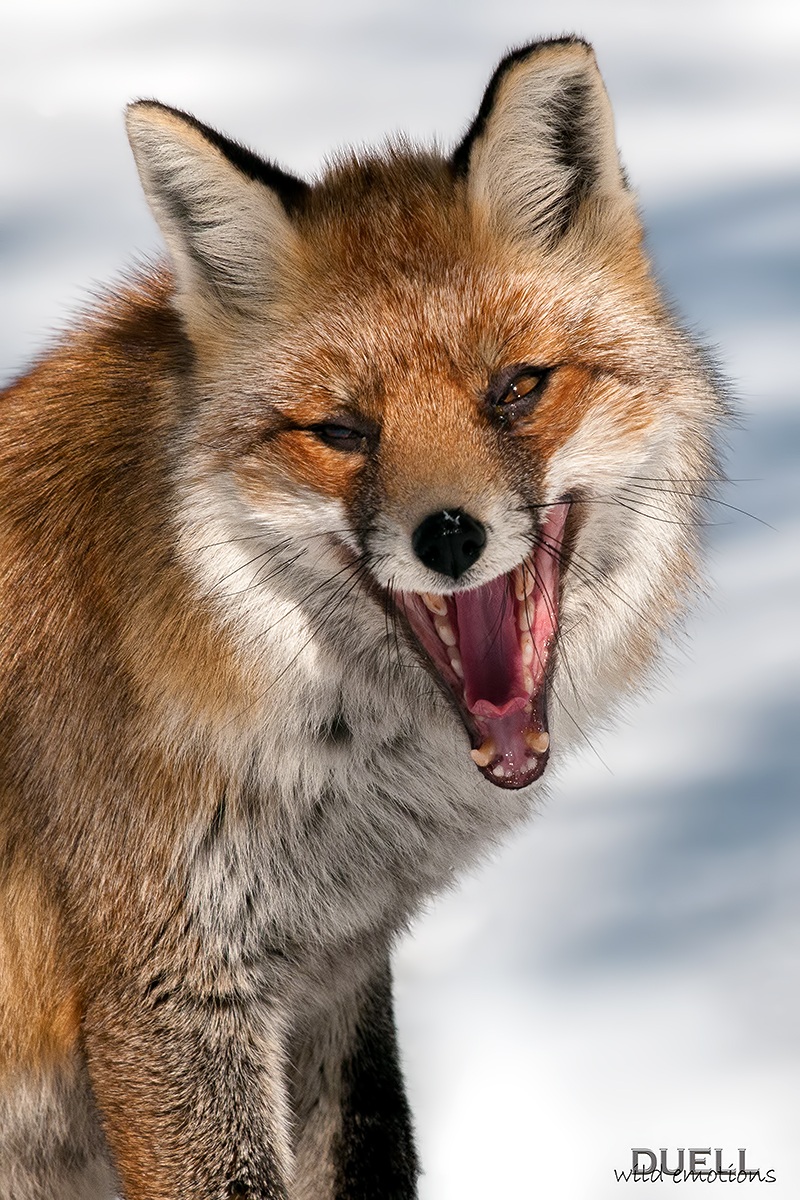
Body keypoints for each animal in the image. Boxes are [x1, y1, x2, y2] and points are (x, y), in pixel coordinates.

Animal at [0, 34, 723, 1200]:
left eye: (516, 389)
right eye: (341, 431)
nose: (449, 538)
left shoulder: (333, 971)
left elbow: (376, 1146)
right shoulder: (167, 995)